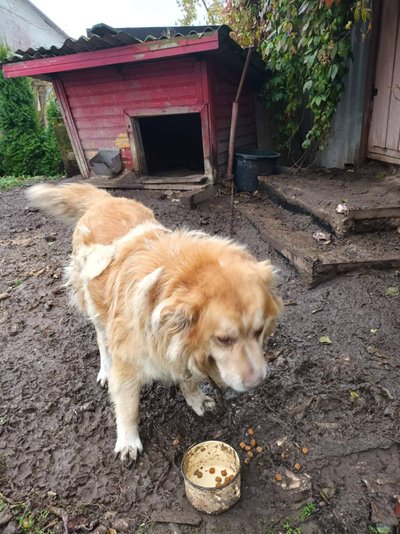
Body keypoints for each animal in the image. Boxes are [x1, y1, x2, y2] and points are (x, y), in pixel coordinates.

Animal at [26, 184, 282, 464]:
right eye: (224, 339)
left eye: (259, 331)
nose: (257, 382)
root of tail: (106, 199)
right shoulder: (128, 361)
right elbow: (128, 407)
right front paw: (128, 440)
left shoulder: (175, 346)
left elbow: (186, 377)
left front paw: (196, 398)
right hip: (93, 303)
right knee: (101, 339)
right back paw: (104, 369)